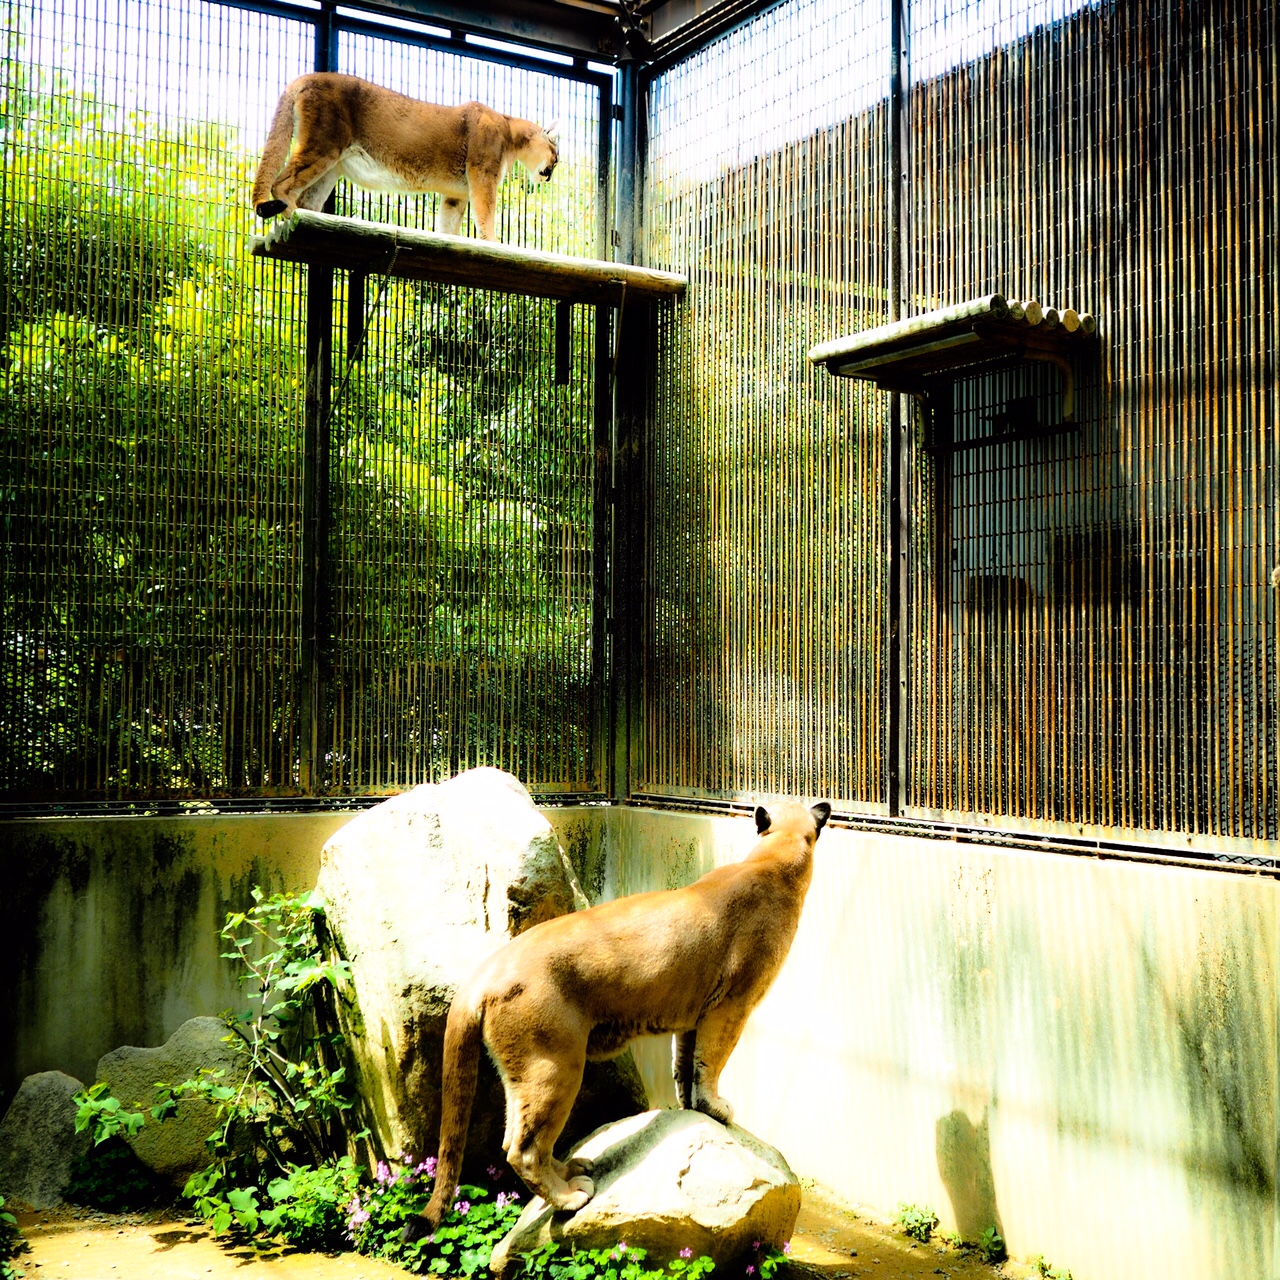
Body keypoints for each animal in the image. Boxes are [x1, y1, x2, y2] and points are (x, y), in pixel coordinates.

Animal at [401, 798, 831, 1242]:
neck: (774, 855)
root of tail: (486, 968)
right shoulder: (731, 1004)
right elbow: (711, 1059)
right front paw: (716, 1109)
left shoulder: (692, 1013)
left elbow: (685, 1062)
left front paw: (689, 1105)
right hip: (554, 1066)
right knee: (521, 1148)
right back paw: (570, 1196)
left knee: (517, 1137)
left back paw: (574, 1168)